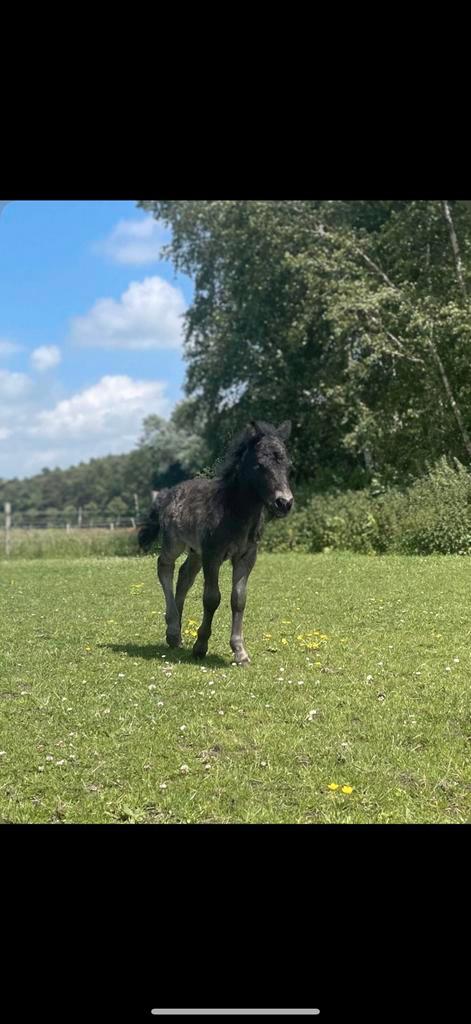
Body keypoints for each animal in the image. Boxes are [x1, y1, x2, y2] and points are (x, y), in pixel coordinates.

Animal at [138, 419, 294, 665]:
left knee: (184, 576)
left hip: (195, 552)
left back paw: (176, 632)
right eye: (260, 465)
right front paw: (200, 646)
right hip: (175, 543)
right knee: (165, 567)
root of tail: (168, 493)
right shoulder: (213, 555)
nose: (284, 503)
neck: (234, 510)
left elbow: (238, 599)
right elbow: (212, 598)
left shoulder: (246, 556)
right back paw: (172, 628)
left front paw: (240, 651)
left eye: (288, 466)